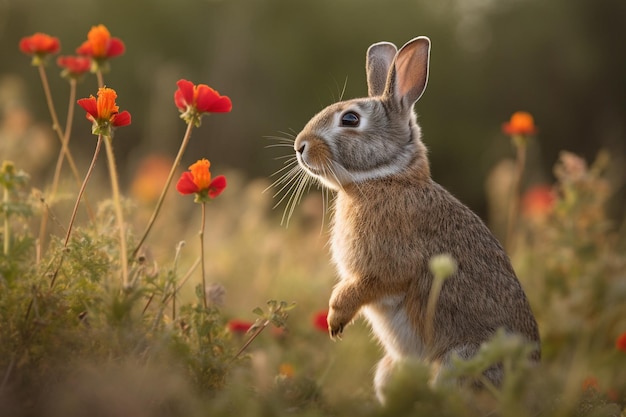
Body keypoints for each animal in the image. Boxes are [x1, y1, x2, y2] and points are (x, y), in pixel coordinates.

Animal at [290, 37, 540, 402]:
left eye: (350, 119)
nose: (300, 146)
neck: (385, 177)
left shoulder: (389, 264)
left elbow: (368, 284)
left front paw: (336, 318)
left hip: (459, 362)